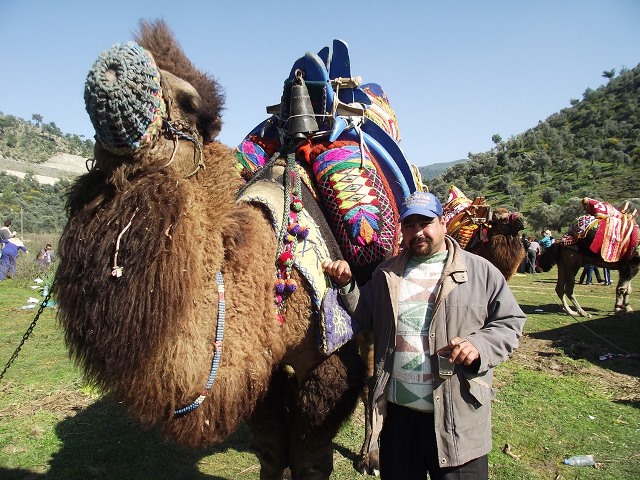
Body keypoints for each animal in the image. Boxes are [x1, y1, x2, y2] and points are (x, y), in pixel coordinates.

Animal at [55, 20, 420, 478]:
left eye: (189, 102)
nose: (112, 67)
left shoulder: (327, 356)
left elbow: (310, 456)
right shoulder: (263, 365)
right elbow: (272, 450)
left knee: (376, 371)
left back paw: (370, 456)